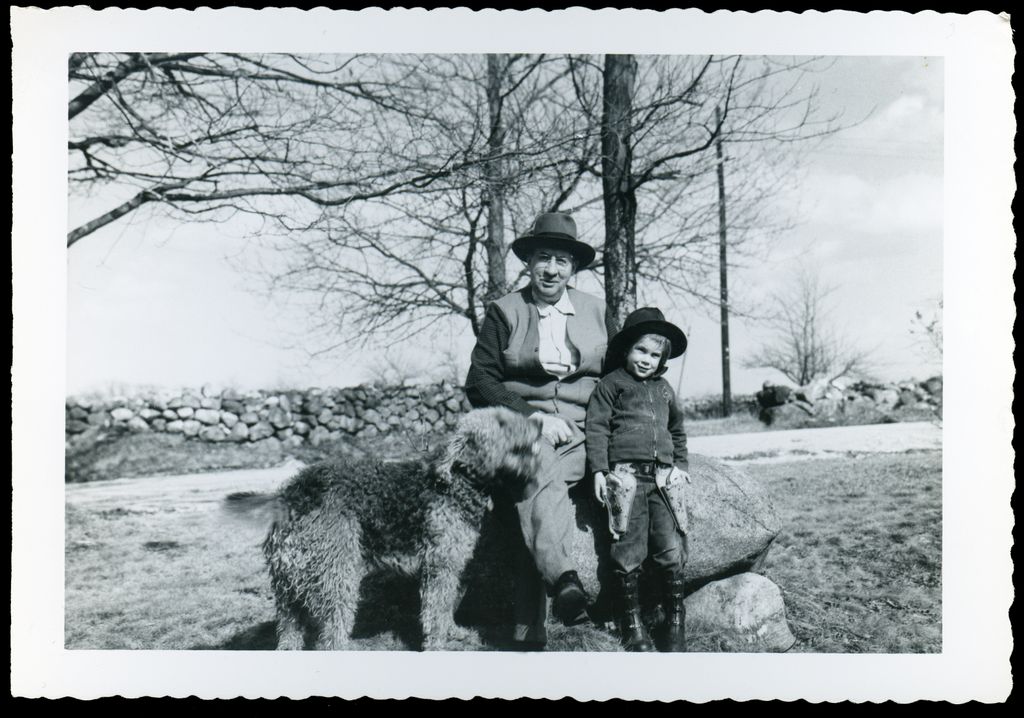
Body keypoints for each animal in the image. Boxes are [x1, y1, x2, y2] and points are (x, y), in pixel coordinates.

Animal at [227, 409, 540, 651]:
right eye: (501, 422)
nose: (538, 423)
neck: (459, 480)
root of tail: (292, 494)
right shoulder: (440, 566)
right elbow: (436, 612)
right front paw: (438, 644)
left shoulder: (451, 567)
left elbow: (448, 606)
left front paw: (453, 632)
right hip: (336, 581)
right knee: (331, 637)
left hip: (287, 591)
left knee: (289, 635)